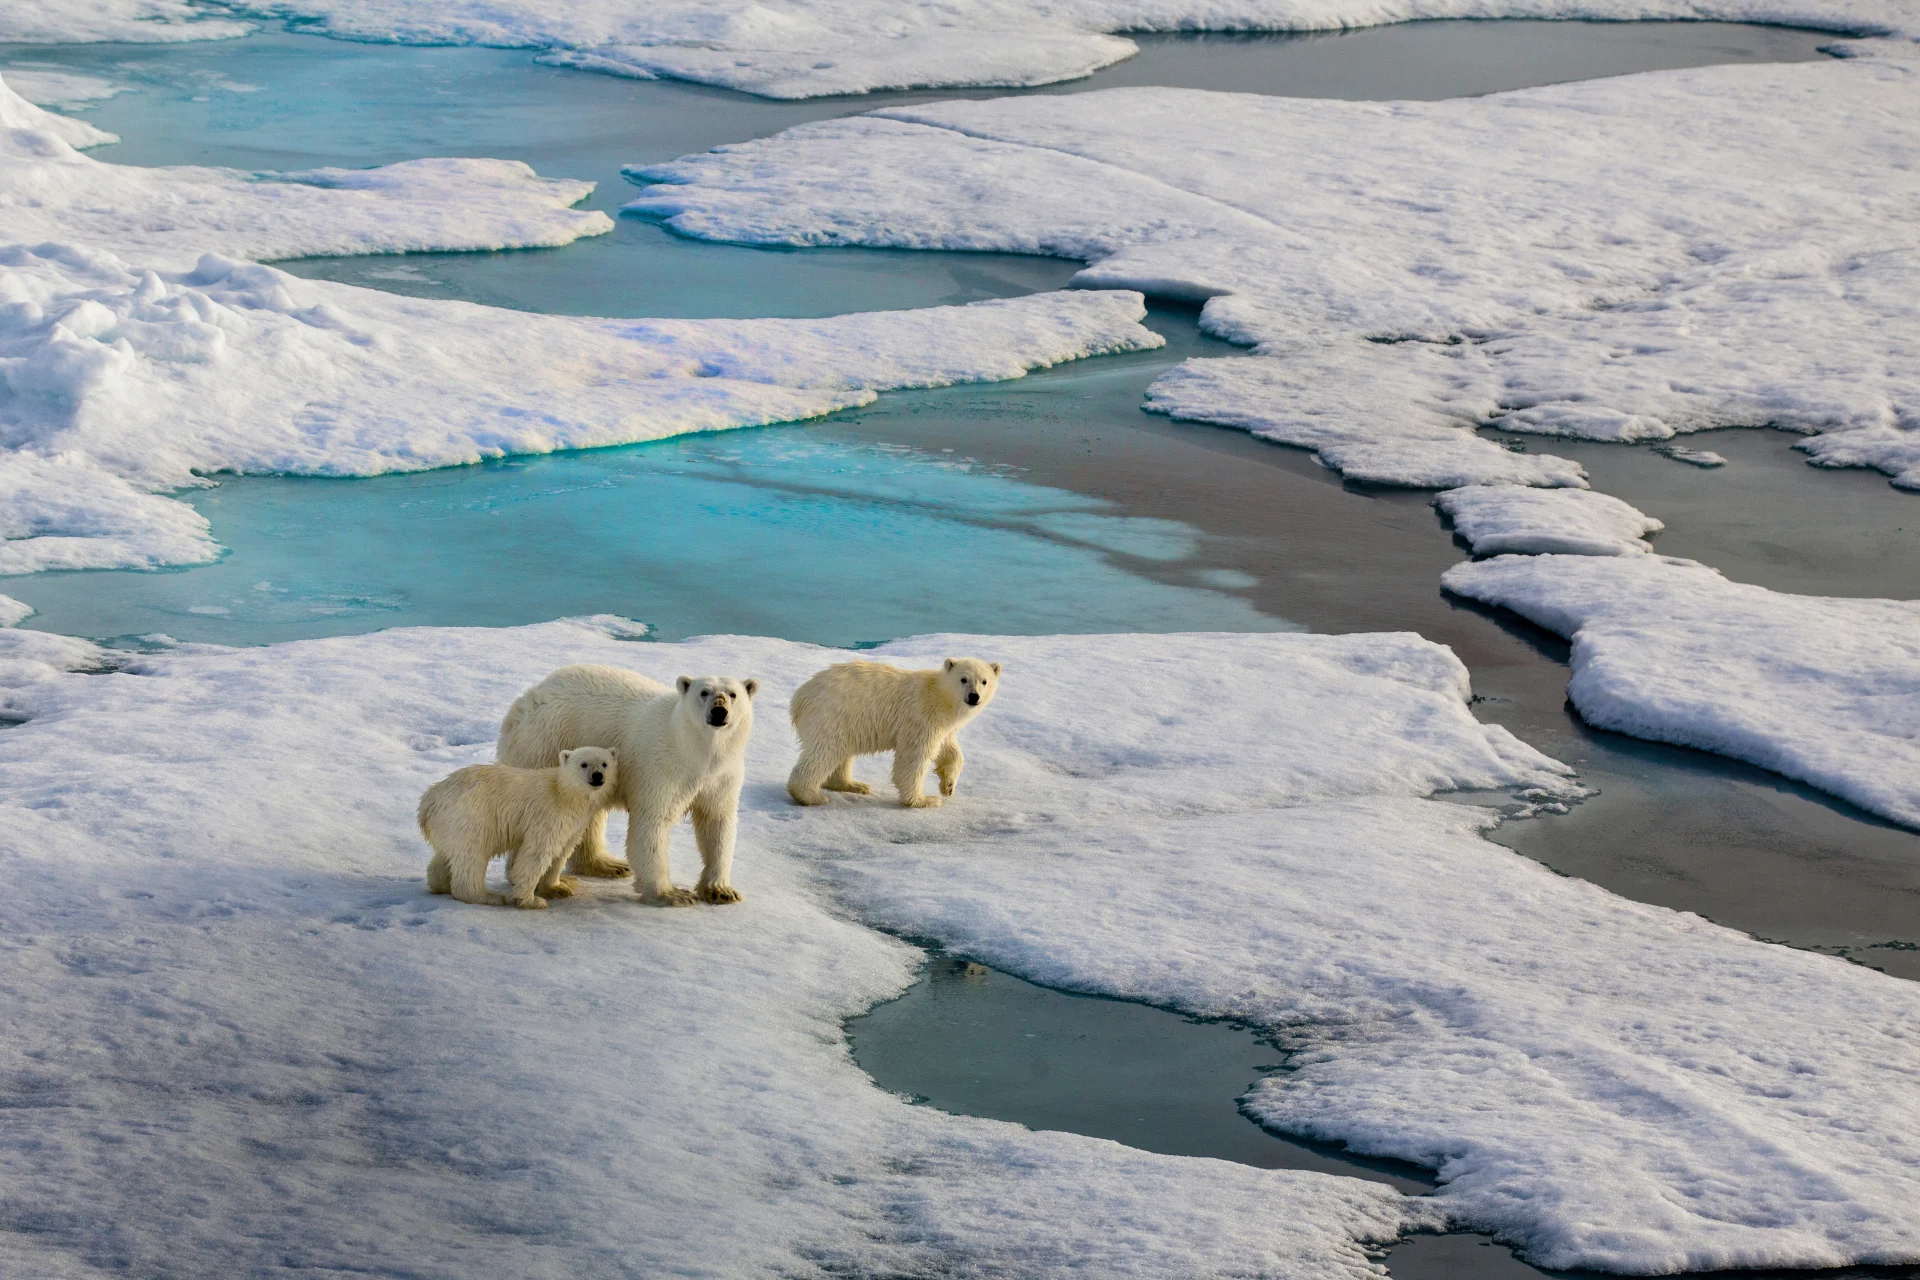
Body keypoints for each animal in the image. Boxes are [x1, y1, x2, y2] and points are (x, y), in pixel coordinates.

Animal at [418, 752, 614, 909]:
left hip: (448, 825)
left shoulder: (575, 823)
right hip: (471, 817)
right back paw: (487, 897)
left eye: (605, 763)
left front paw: (560, 886)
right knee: (471, 857)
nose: (597, 776)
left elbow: (563, 850)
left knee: (447, 855)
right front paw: (531, 900)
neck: (564, 792)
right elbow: (537, 853)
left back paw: (441, 884)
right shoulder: (549, 814)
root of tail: (428, 802)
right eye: (583, 764)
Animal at [495, 667, 756, 905]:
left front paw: (721, 891)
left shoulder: (722, 776)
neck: (695, 751)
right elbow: (652, 823)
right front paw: (672, 894)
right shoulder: (663, 768)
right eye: (704, 692)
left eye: (733, 694)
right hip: (546, 744)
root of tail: (524, 703)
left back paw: (607, 865)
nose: (719, 711)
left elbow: (717, 822)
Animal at [787, 660, 1006, 809]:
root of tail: (799, 698)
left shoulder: (944, 727)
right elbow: (914, 757)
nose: (974, 696)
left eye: (984, 681)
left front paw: (948, 786)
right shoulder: (921, 718)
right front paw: (924, 800)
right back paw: (811, 796)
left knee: (841, 753)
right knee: (825, 752)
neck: (940, 697)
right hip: (833, 716)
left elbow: (950, 750)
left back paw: (854, 785)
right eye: (963, 679)